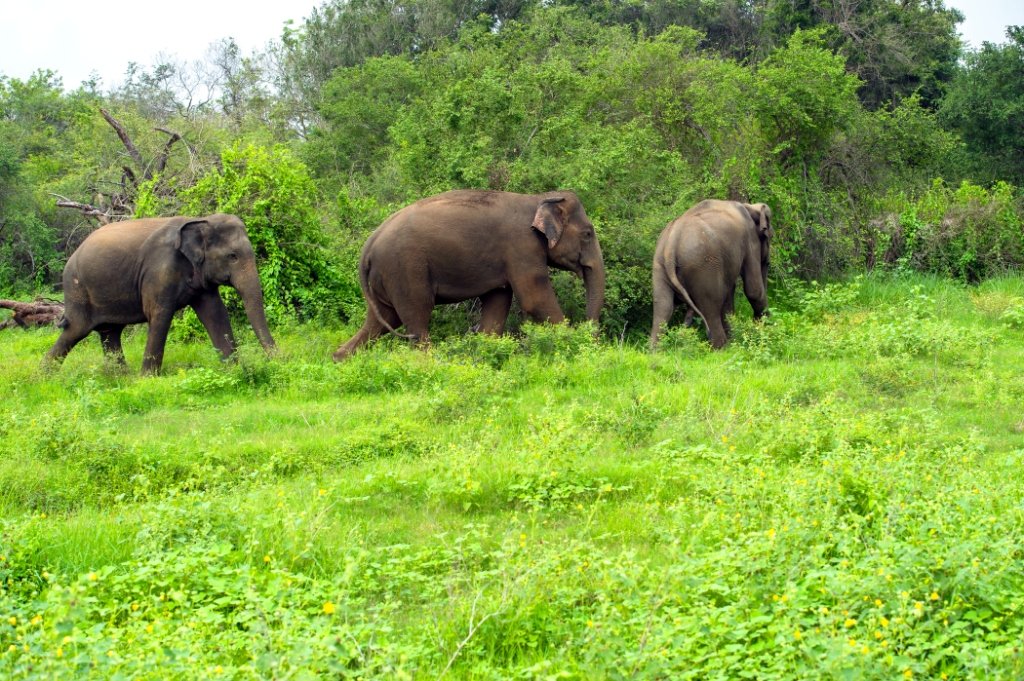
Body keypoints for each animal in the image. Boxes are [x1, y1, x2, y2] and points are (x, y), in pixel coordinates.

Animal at [45, 213, 276, 372]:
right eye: (233, 256)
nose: (278, 359)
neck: (200, 219)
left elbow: (215, 313)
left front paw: (234, 370)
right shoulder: (159, 271)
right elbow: (159, 315)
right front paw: (147, 379)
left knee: (110, 333)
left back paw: (120, 378)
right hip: (77, 289)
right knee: (75, 330)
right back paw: (43, 378)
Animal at [335, 188, 602, 358]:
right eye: (588, 234)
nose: (592, 337)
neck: (539, 198)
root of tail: (368, 247)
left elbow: (497, 302)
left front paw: (487, 350)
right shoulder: (522, 247)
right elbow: (534, 299)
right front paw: (575, 344)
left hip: (385, 277)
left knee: (382, 319)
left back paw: (340, 359)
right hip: (404, 270)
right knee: (416, 316)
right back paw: (429, 363)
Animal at [651, 197, 770, 348]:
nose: (756, 321)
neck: (749, 206)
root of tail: (671, 244)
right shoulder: (750, 239)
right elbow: (753, 290)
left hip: (659, 266)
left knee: (663, 306)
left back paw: (656, 351)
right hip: (703, 266)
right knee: (711, 305)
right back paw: (722, 348)